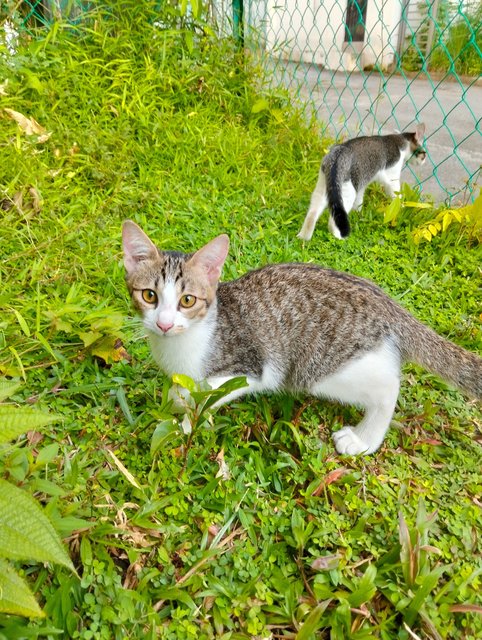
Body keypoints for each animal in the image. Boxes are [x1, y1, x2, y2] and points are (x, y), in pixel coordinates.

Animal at [122, 220, 480, 456]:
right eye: (149, 296)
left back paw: (364, 439)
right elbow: (186, 394)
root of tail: (386, 303)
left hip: (323, 367)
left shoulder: (249, 368)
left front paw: (185, 425)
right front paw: (183, 407)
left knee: (388, 387)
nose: (164, 324)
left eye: (187, 301)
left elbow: (205, 393)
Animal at [298, 122, 426, 240]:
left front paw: (358, 214)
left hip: (323, 186)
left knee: (312, 213)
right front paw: (401, 207)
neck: (401, 140)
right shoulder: (392, 177)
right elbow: (397, 195)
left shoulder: (361, 183)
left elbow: (359, 201)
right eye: (424, 154)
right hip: (347, 192)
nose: (424, 161)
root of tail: (339, 153)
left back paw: (303, 238)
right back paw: (339, 237)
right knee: (332, 221)